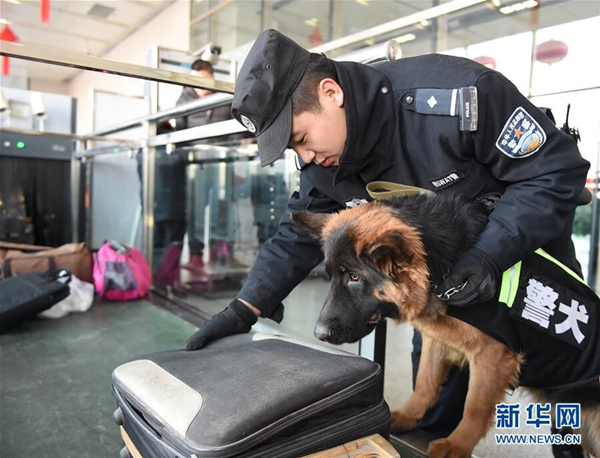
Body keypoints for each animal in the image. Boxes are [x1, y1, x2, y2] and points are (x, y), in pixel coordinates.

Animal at [292, 192, 600, 458]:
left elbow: (475, 407)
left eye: (355, 277)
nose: (318, 333)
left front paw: (458, 445)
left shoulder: (493, 358)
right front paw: (409, 416)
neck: (442, 269)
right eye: (330, 275)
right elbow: (425, 383)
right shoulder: (438, 340)